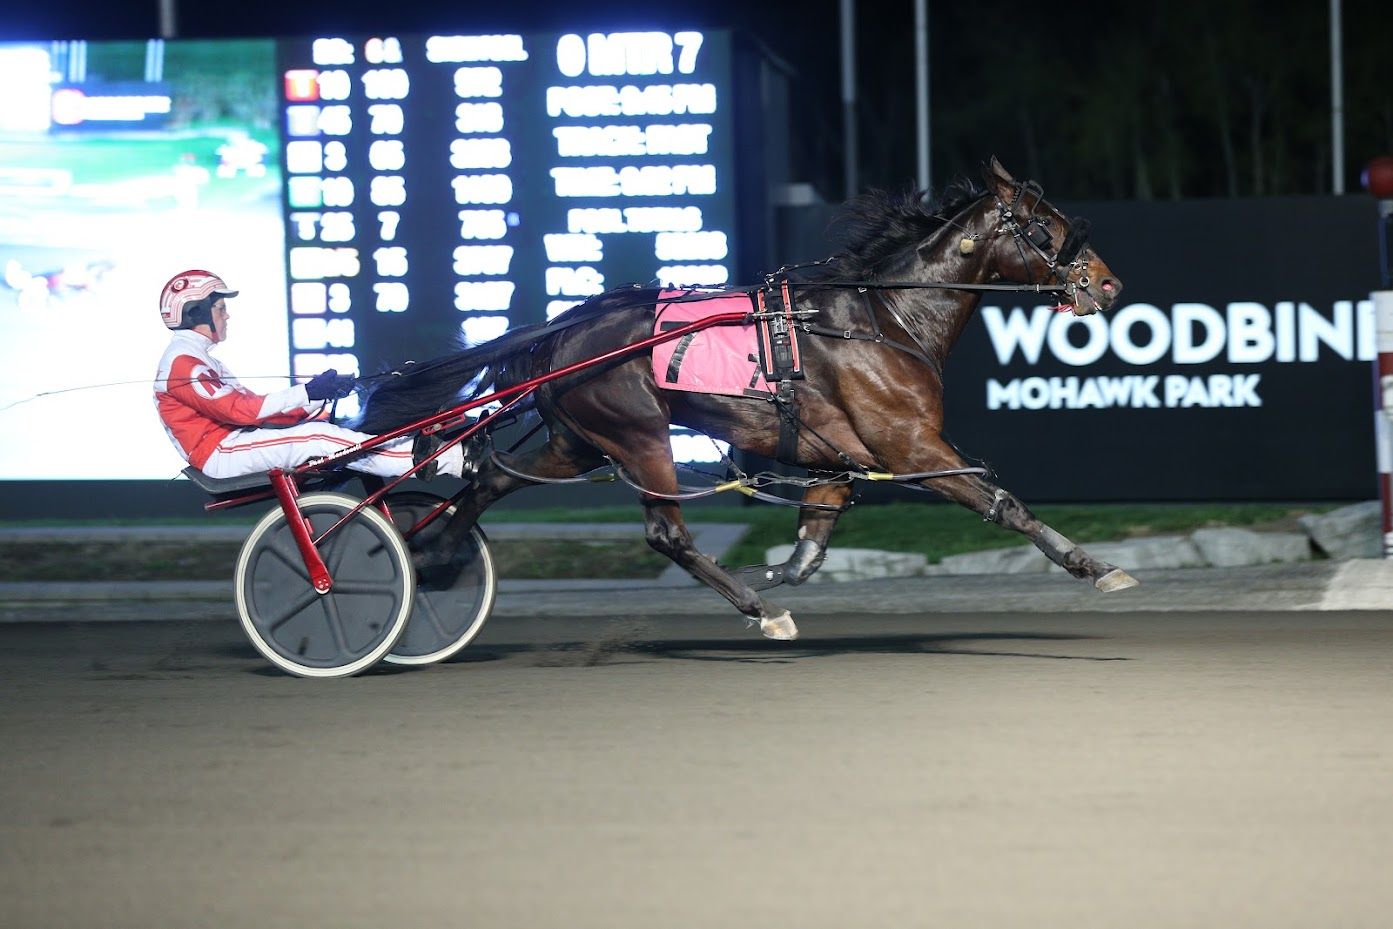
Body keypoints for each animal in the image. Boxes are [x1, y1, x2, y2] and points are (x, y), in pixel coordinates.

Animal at [359, 160, 1131, 640]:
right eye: (1047, 224)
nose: (1108, 282)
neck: (882, 318)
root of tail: (562, 327)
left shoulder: (837, 456)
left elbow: (814, 538)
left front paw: (784, 565)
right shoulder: (910, 445)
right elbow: (1001, 501)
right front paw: (1095, 568)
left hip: (574, 440)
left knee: (491, 478)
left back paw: (432, 554)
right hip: (640, 433)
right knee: (665, 533)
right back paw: (759, 610)